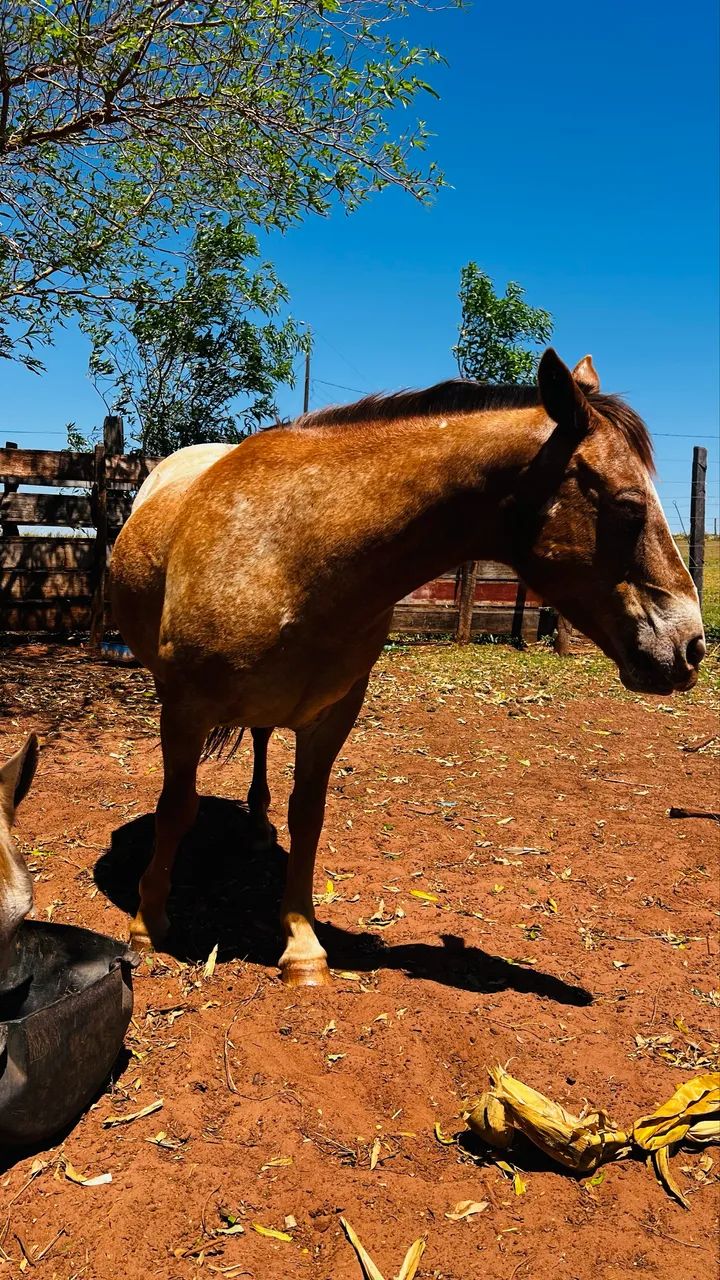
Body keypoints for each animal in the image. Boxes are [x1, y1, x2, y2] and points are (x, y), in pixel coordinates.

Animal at [110, 349, 705, 987]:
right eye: (628, 505)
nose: (692, 645)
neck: (292, 554)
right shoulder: (184, 707)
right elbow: (176, 809)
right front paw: (147, 924)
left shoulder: (332, 715)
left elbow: (308, 817)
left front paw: (302, 945)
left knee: (264, 741)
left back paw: (257, 827)